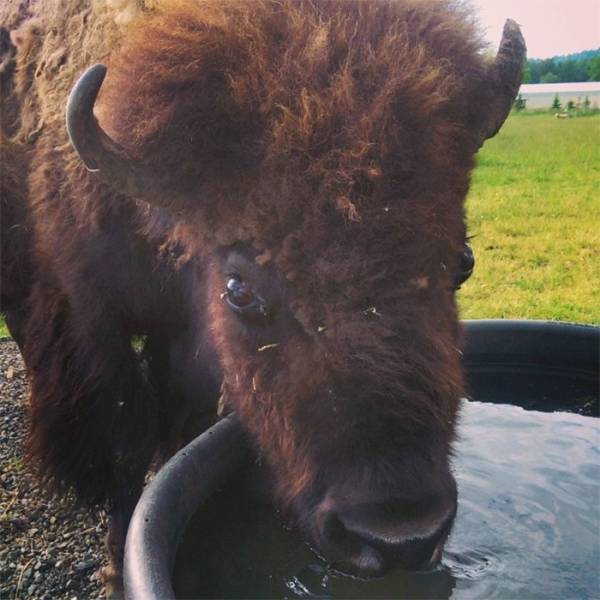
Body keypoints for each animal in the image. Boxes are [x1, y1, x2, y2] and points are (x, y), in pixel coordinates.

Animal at [0, 0, 524, 592]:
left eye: (463, 261)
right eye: (240, 290)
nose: (400, 536)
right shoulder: (91, 317)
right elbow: (125, 433)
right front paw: (115, 566)